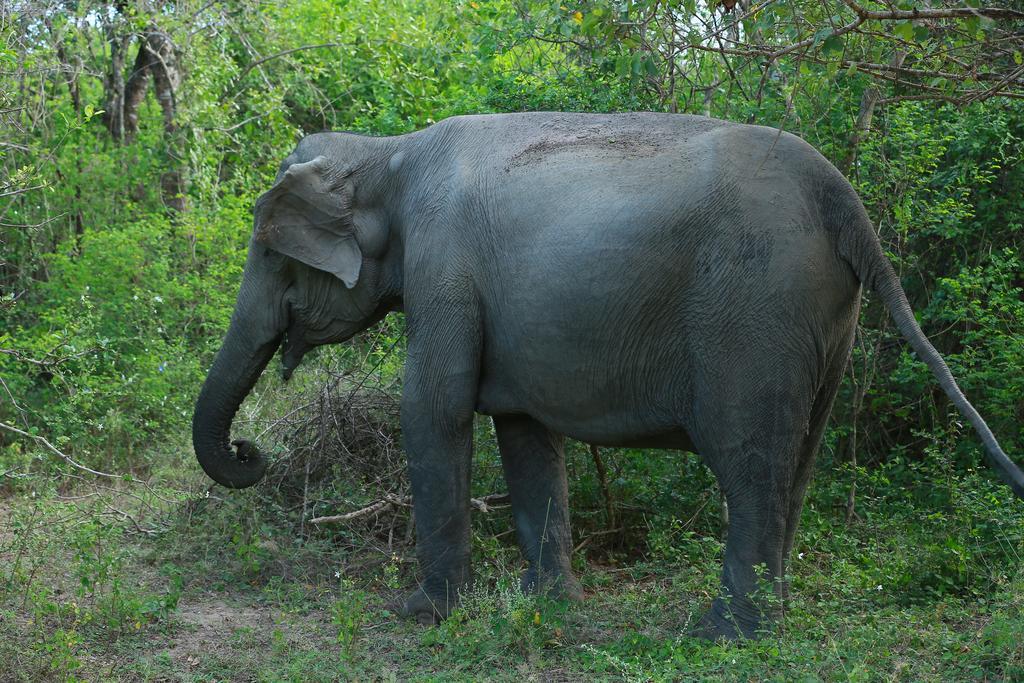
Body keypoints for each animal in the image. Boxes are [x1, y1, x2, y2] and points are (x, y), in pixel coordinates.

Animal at [193, 112, 1024, 643]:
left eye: (270, 253)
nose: (248, 451)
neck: (385, 151)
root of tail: (843, 196)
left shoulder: (443, 266)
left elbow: (434, 410)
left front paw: (419, 613)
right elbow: (524, 434)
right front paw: (547, 604)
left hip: (757, 313)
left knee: (749, 461)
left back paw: (723, 635)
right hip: (824, 322)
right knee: (800, 461)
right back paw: (771, 620)